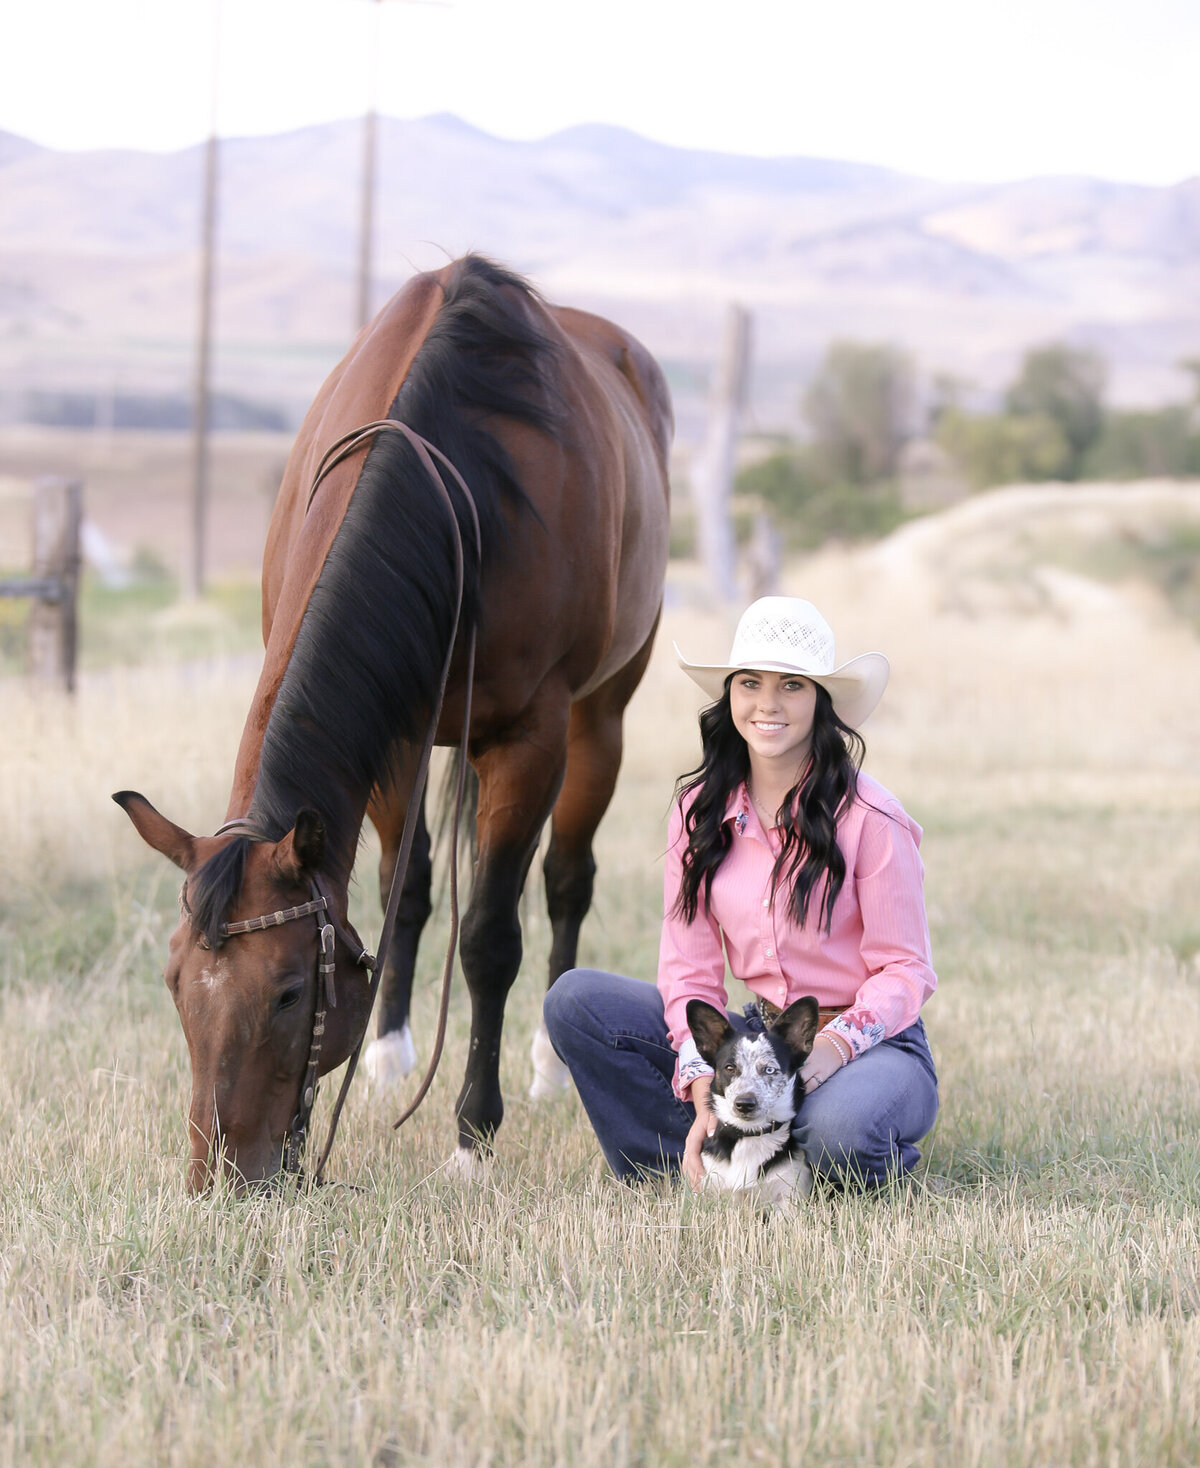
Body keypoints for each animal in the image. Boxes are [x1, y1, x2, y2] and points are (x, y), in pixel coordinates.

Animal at [116, 252, 669, 1192]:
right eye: (174, 980)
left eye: (290, 992)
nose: (223, 1177)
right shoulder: (396, 735)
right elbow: (400, 893)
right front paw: (384, 1053)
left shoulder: (530, 738)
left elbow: (489, 937)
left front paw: (473, 1134)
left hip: (602, 714)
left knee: (566, 878)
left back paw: (551, 1063)